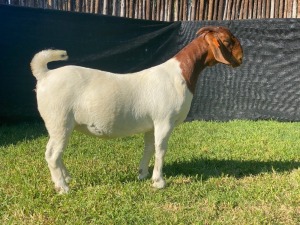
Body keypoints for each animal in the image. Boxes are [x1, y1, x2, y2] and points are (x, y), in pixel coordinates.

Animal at [29, 25, 244, 192]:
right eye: (227, 40)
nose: (241, 58)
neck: (180, 74)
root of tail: (45, 75)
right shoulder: (164, 121)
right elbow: (161, 149)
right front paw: (159, 182)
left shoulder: (151, 124)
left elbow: (149, 148)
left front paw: (143, 174)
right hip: (59, 120)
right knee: (52, 154)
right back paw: (63, 187)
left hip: (62, 124)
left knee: (55, 153)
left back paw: (67, 178)